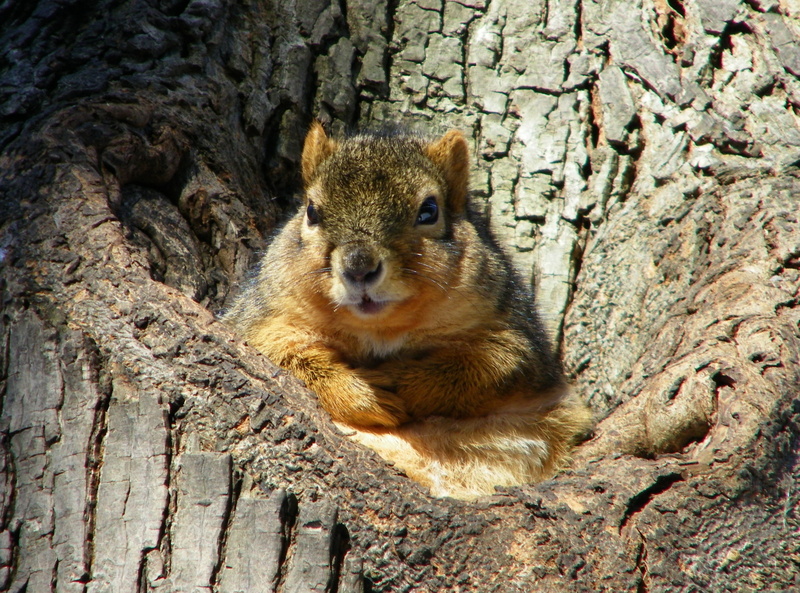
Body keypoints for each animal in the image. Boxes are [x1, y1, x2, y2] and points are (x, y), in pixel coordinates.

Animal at [224, 122, 592, 499]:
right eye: (311, 210)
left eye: (429, 210)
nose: (358, 267)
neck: (381, 329)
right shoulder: (261, 321)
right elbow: (283, 355)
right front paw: (365, 395)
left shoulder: (518, 338)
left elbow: (489, 367)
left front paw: (403, 382)